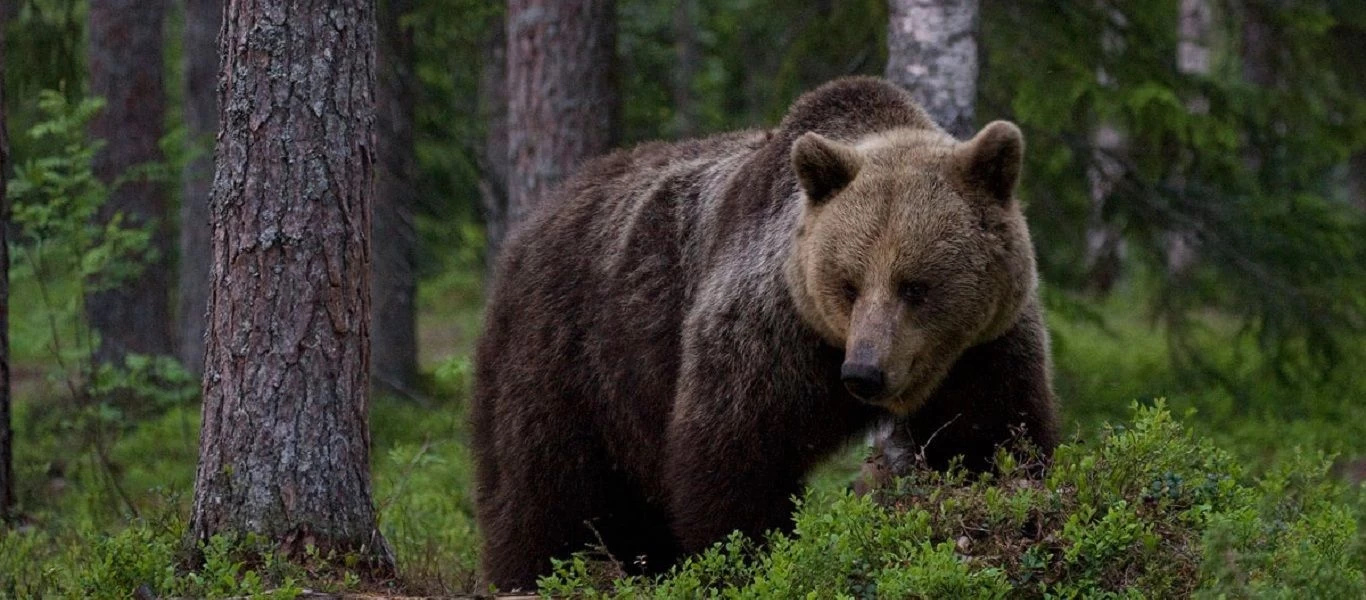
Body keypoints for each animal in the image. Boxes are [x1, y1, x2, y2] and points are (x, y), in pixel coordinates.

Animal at [475, 75, 1060, 593]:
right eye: (848, 284)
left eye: (915, 286)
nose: (864, 373)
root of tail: (533, 221)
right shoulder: (770, 333)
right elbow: (737, 456)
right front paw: (747, 556)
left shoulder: (983, 347)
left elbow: (993, 434)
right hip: (569, 354)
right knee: (541, 488)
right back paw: (531, 572)